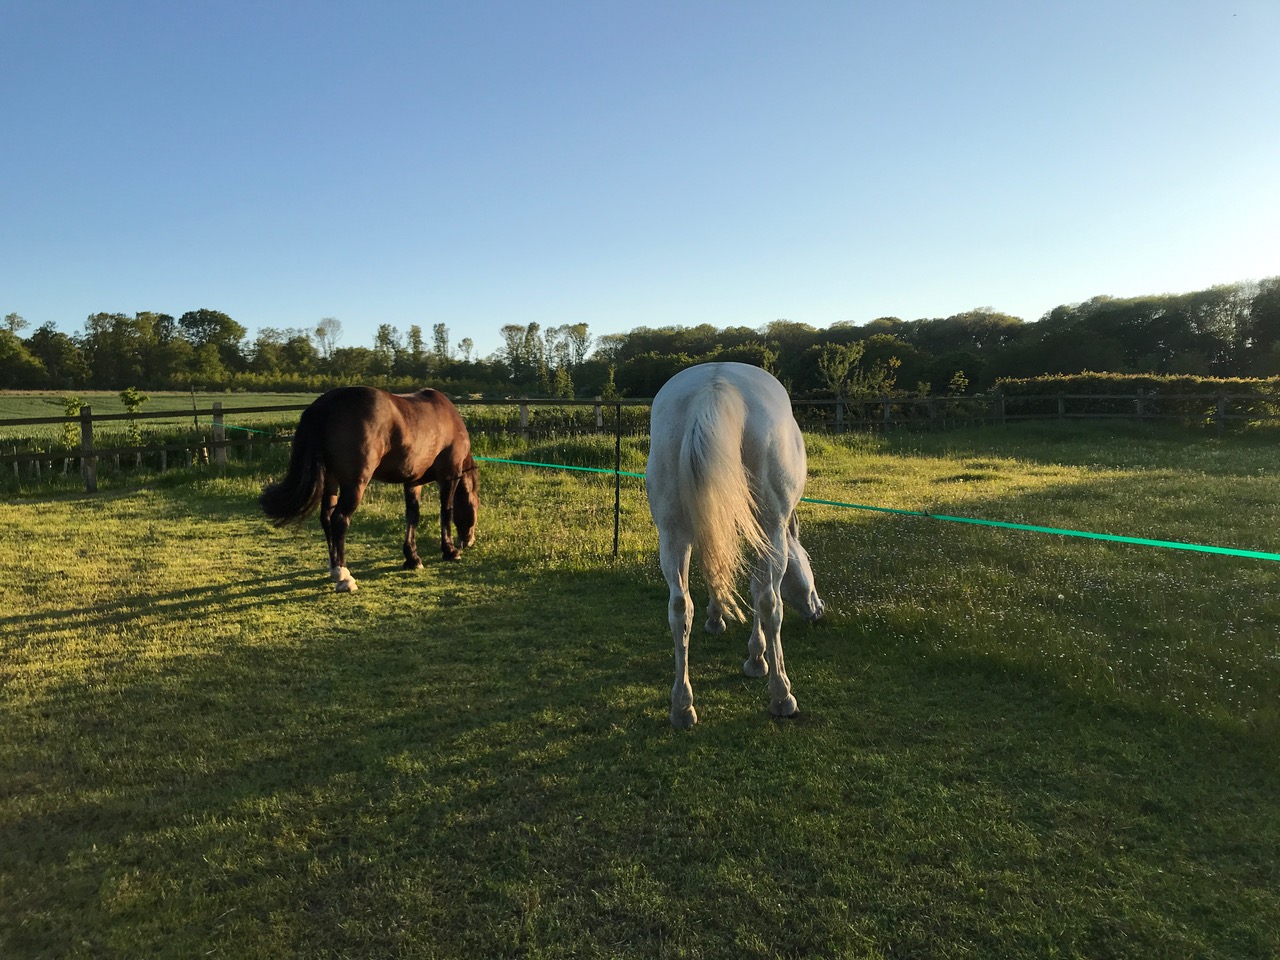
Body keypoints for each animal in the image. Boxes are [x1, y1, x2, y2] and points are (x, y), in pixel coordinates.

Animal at [259, 386, 478, 593]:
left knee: (326, 518)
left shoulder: (413, 482)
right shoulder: (449, 475)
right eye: (475, 506)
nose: (468, 541)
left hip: (331, 481)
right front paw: (450, 551)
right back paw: (343, 576)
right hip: (355, 483)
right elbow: (446, 511)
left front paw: (412, 558)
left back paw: (333, 568)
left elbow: (412, 516)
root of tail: (328, 403)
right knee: (339, 519)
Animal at [646, 361, 825, 728]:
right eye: (809, 559)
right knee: (770, 602)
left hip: (672, 533)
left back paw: (682, 706)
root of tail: (715, 385)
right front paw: (757, 658)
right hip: (770, 526)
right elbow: (758, 592)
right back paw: (781, 696)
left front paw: (716, 619)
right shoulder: (765, 535)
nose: (819, 610)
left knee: (679, 607)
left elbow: (715, 571)